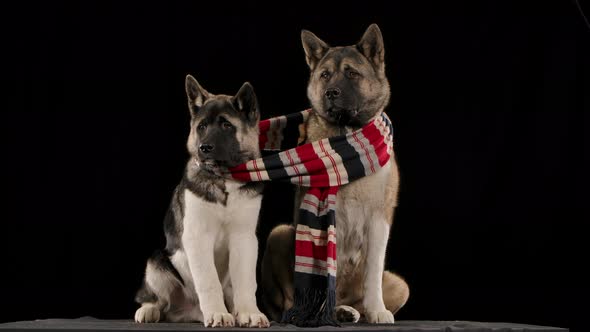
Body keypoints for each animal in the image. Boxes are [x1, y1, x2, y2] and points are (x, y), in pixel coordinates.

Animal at [135, 75, 270, 326]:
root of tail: (190, 310)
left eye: (226, 125)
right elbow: (208, 281)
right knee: (157, 299)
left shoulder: (245, 239)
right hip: (157, 262)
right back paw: (149, 310)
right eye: (202, 127)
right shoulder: (197, 237)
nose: (203, 148)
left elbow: (246, 282)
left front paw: (249, 312)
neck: (223, 179)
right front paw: (217, 312)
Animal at [264, 25, 412, 324]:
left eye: (352, 73)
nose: (331, 93)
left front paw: (377, 310)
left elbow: (373, 271)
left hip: (400, 284)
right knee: (290, 299)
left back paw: (347, 310)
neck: (348, 136)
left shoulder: (379, 218)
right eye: (325, 75)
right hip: (280, 234)